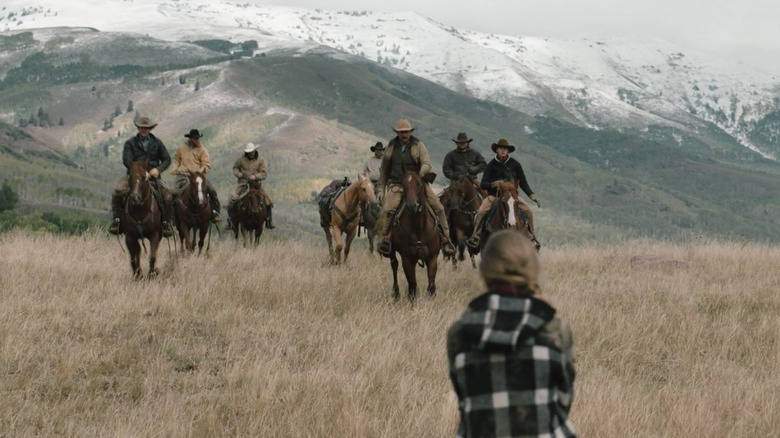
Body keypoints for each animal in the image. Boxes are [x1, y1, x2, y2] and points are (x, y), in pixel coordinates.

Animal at [388, 170, 438, 302]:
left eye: (419, 183)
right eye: (403, 185)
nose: (412, 206)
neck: (419, 227)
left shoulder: (432, 257)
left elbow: (431, 285)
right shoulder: (407, 259)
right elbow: (412, 285)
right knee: (394, 265)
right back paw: (396, 294)